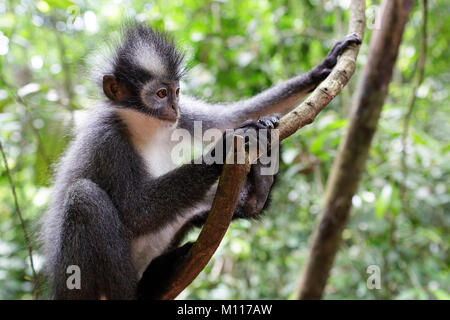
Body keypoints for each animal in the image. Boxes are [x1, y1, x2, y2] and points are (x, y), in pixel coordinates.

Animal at [39, 22, 362, 300]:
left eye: (176, 92)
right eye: (160, 93)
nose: (173, 107)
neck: (144, 126)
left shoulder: (183, 118)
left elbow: (227, 117)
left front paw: (324, 67)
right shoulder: (106, 139)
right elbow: (135, 211)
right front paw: (227, 145)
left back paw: (254, 195)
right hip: (78, 282)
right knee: (84, 197)